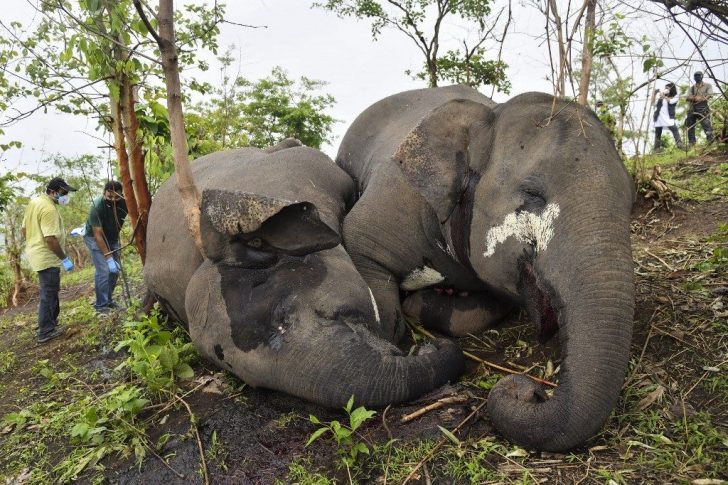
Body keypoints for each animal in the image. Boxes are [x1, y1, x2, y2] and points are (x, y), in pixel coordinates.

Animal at [336, 85, 635, 451]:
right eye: (533, 194)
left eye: (631, 200)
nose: (531, 391)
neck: (489, 119)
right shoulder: (395, 196)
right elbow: (359, 244)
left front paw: (428, 300)